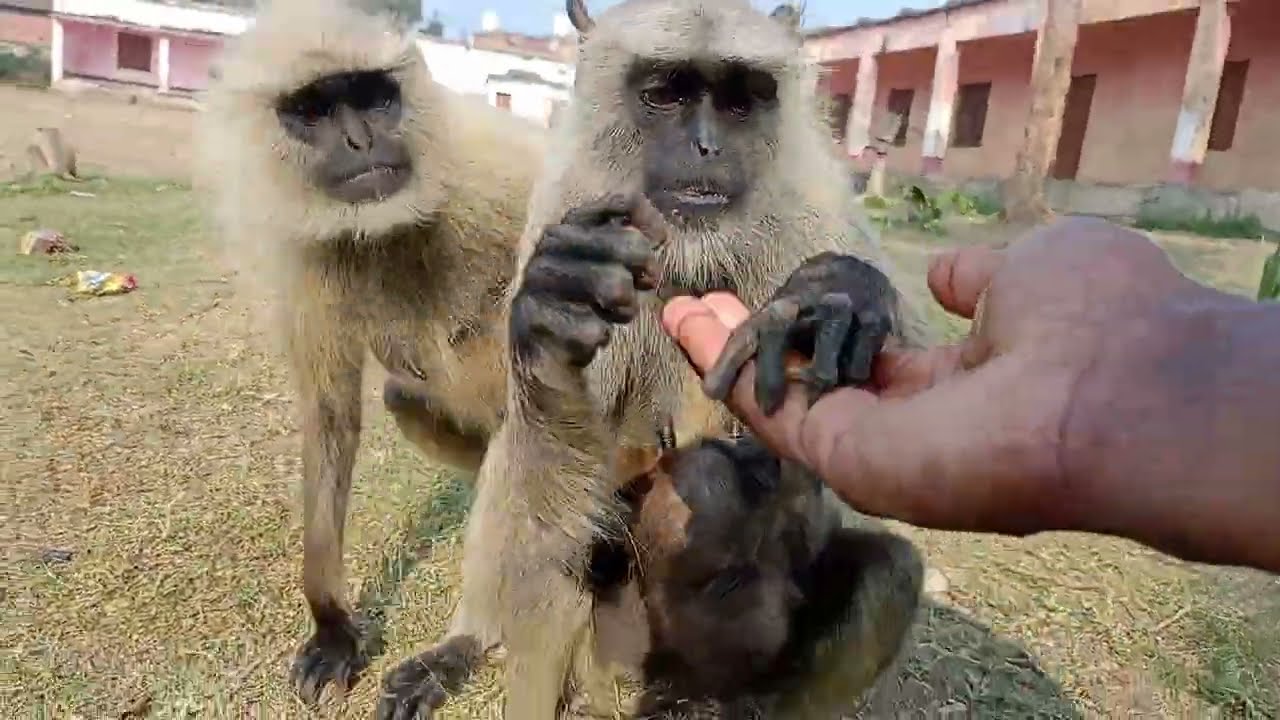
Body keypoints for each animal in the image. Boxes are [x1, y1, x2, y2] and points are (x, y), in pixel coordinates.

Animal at [193, 0, 546, 705]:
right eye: (314, 110)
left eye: (373, 97)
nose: (362, 141)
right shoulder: (303, 256)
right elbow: (332, 416)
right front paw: (333, 627)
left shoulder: (501, 174)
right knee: (407, 397)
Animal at [373, 2, 933, 719]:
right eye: (667, 94)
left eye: (740, 99)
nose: (707, 147)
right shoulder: (571, 210)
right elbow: (536, 452)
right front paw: (552, 323)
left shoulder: (817, 211)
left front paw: (842, 297)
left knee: (888, 574)